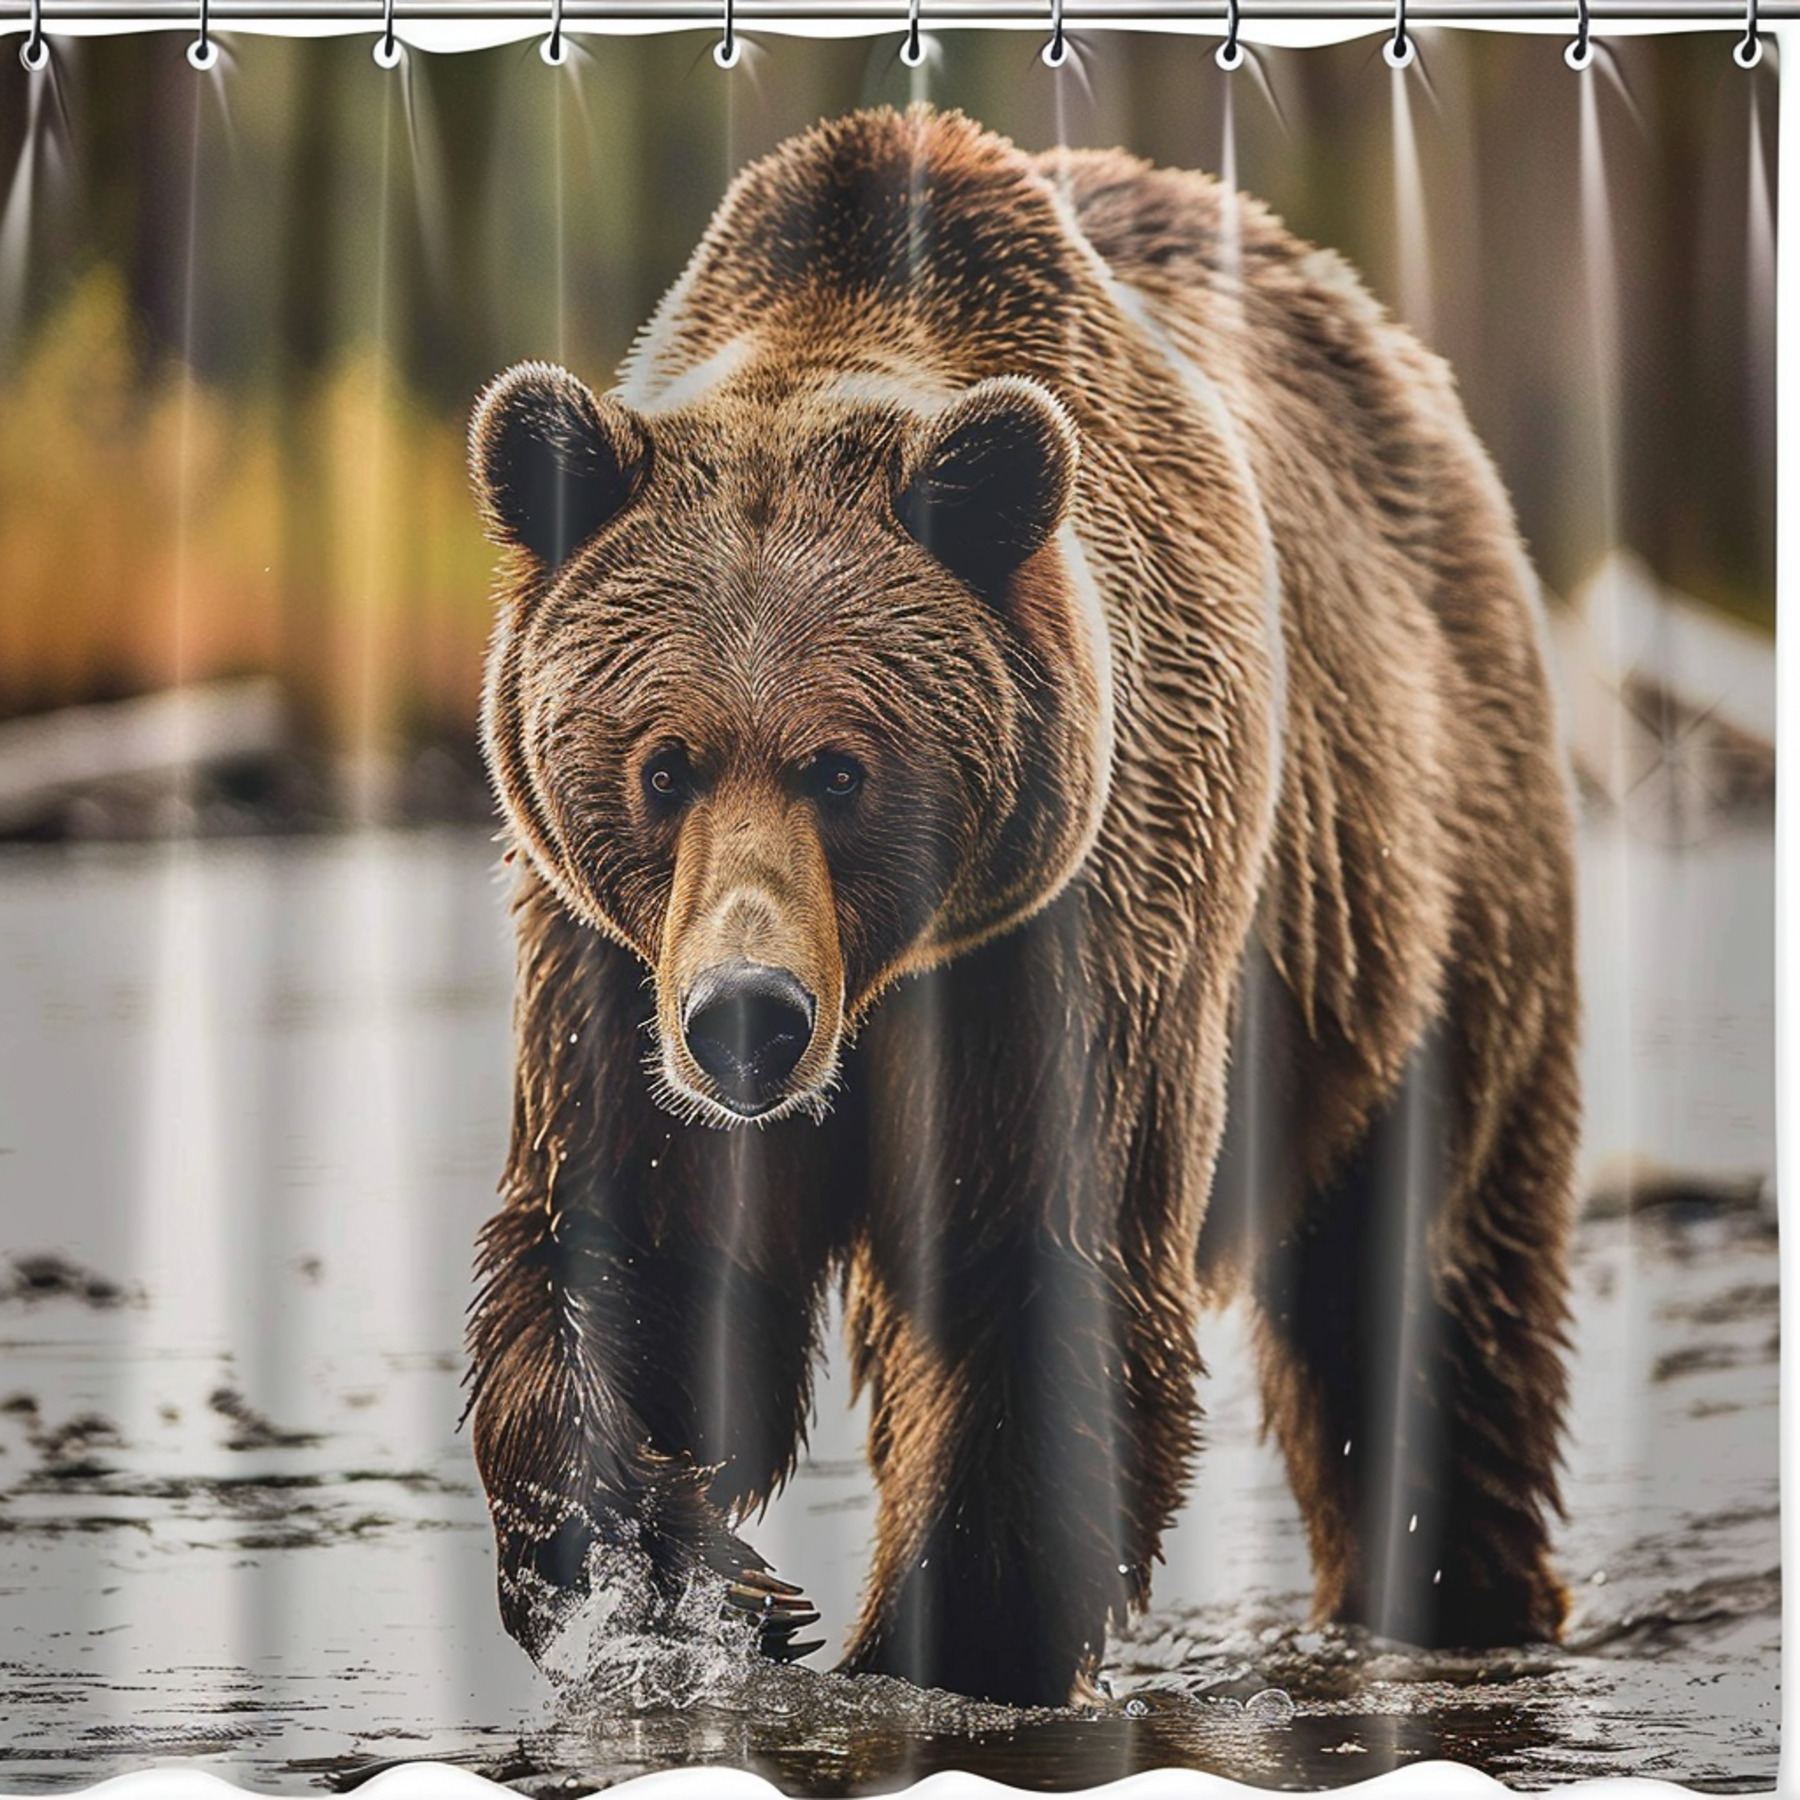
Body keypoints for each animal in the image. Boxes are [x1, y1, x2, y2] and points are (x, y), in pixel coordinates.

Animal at [463, 102, 1579, 1709]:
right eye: (663, 764)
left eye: (844, 768)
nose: (749, 1020)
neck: (886, 986)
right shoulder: (610, 962)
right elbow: (620, 1251)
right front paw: (690, 1584)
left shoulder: (1076, 932)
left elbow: (1044, 1287)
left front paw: (932, 1649)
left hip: (1420, 877)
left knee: (1430, 1285)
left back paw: (1463, 1598)